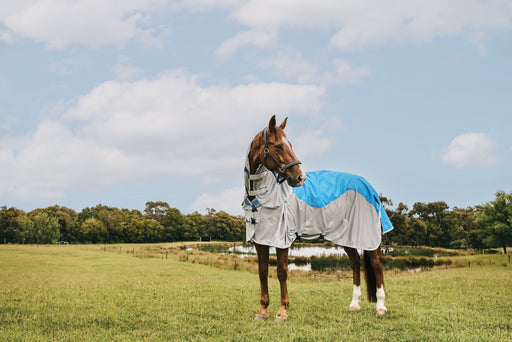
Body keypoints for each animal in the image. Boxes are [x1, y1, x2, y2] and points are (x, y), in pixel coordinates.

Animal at [243, 115, 392, 320]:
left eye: (290, 144)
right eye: (279, 146)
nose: (301, 178)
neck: (261, 197)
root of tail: (368, 187)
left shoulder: (282, 240)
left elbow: (281, 272)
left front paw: (282, 311)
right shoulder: (261, 240)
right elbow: (263, 271)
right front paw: (262, 310)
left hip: (369, 237)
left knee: (377, 265)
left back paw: (381, 307)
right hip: (348, 237)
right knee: (355, 263)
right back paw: (354, 304)